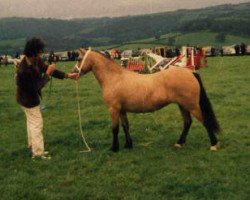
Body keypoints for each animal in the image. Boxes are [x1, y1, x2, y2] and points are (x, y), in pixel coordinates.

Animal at [73, 48, 220, 152]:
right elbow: (125, 126)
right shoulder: (121, 110)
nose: (72, 73)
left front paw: (114, 148)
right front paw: (128, 145)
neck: (114, 78)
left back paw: (213, 145)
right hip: (182, 105)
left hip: (192, 106)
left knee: (205, 121)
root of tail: (190, 72)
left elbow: (115, 129)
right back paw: (179, 143)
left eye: (79, 58)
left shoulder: (113, 109)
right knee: (187, 122)